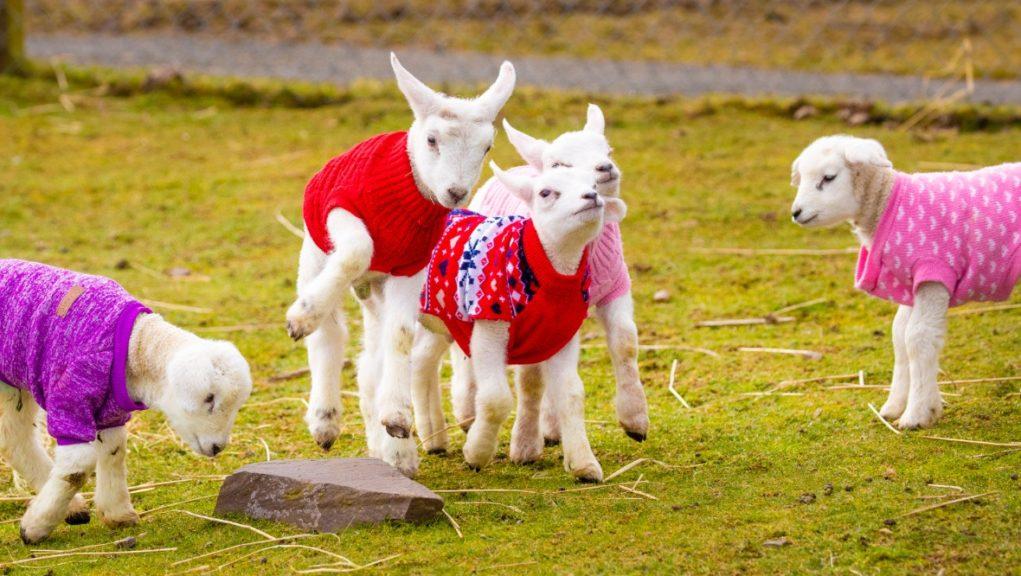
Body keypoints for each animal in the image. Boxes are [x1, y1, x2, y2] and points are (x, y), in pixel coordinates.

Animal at [0, 259, 252, 544]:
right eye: (209, 399)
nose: (218, 447)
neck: (135, 347)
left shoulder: (109, 409)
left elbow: (114, 450)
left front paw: (118, 514)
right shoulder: (71, 397)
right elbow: (77, 467)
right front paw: (35, 528)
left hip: (13, 382)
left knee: (14, 436)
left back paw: (73, 507)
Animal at [286, 53, 515, 476]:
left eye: (487, 146)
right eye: (432, 140)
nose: (456, 192)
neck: (412, 192)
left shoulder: (411, 266)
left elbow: (402, 334)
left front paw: (395, 418)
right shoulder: (345, 207)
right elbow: (358, 248)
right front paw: (302, 317)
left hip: (376, 292)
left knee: (370, 363)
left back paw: (395, 452)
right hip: (315, 251)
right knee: (330, 334)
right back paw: (324, 417)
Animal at [416, 104, 647, 452]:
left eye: (608, 150)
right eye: (559, 164)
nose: (605, 168)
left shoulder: (612, 286)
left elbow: (625, 343)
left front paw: (635, 418)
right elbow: (530, 377)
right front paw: (525, 442)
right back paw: (468, 413)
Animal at [790, 135, 1021, 429]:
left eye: (828, 177)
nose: (796, 212)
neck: (887, 201)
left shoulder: (934, 274)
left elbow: (918, 338)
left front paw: (915, 415)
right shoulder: (913, 283)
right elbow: (900, 337)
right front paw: (901, 406)